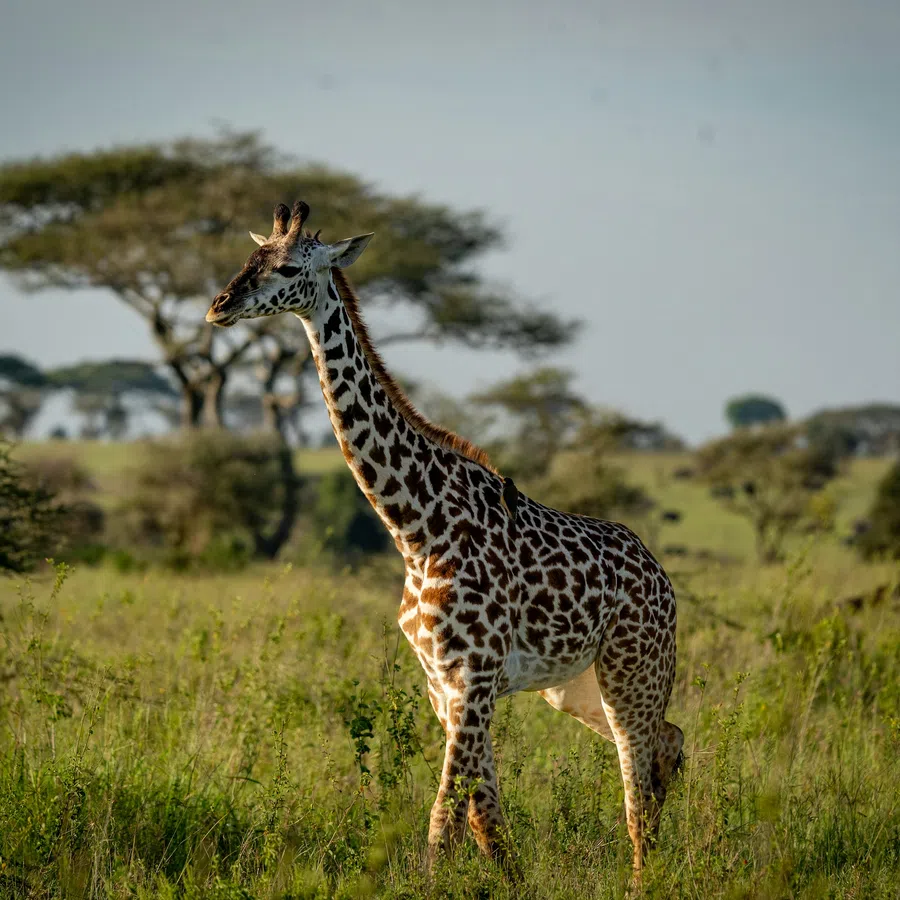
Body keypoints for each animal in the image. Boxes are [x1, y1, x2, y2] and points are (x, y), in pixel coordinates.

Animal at [206, 201, 683, 878]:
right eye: (250, 257)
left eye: (290, 266)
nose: (219, 305)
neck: (415, 528)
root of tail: (661, 575)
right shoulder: (443, 684)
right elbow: (483, 813)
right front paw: (512, 882)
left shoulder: (472, 676)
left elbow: (444, 821)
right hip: (572, 686)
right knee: (668, 742)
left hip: (632, 666)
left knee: (636, 771)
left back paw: (645, 876)